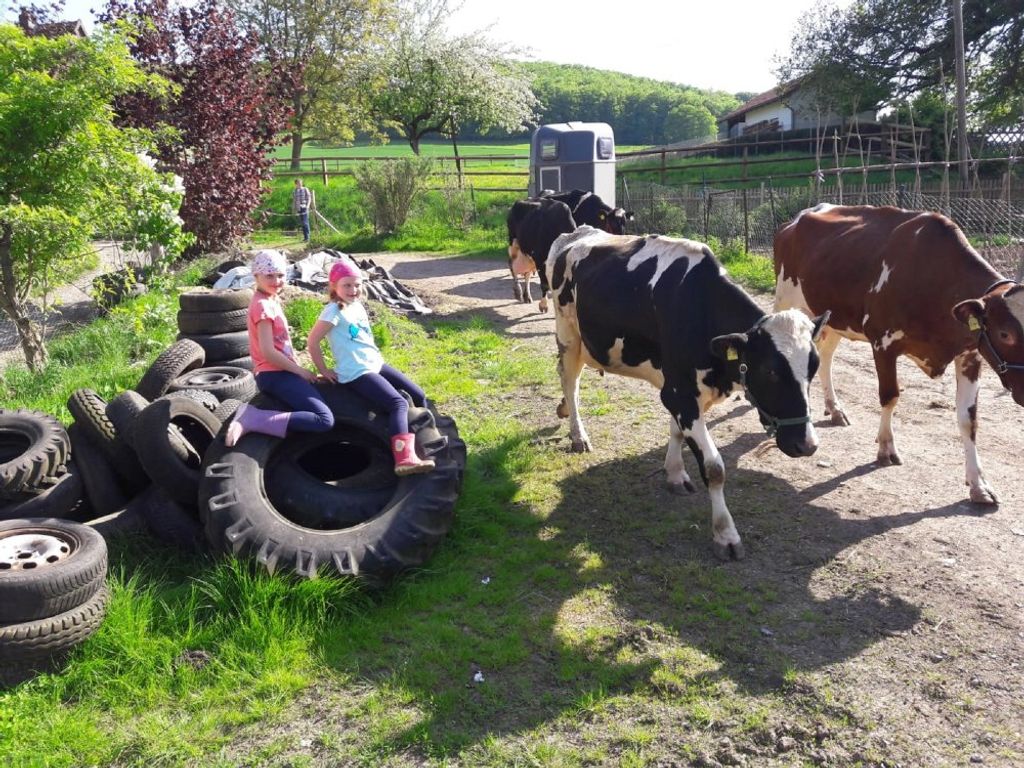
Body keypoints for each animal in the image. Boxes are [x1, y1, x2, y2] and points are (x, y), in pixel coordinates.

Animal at [547, 225, 828, 560]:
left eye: (813, 368)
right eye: (770, 371)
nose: (806, 445)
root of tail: (578, 231)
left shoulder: (679, 391)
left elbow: (676, 431)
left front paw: (675, 474)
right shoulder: (680, 393)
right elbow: (714, 468)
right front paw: (726, 535)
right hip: (568, 334)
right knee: (570, 381)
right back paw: (578, 434)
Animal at [774, 203, 1024, 505]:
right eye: (1005, 334)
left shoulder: (970, 355)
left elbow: (969, 420)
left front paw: (978, 484)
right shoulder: (883, 343)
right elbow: (890, 396)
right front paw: (885, 448)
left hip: (833, 318)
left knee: (826, 358)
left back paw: (835, 409)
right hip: (785, 300)